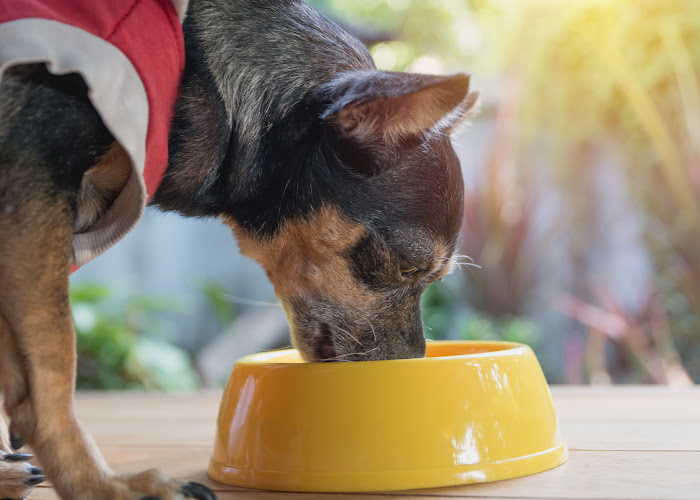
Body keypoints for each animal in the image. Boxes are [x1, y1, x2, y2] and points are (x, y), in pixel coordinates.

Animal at [1, 0, 476, 500]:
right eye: (409, 269)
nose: (410, 366)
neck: (198, 75)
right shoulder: (30, 198)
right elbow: (51, 381)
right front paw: (101, 486)